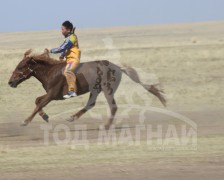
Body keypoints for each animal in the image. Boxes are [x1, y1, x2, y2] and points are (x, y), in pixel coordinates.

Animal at [8, 48, 166, 129]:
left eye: (20, 66)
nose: (10, 82)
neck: (50, 71)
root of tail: (117, 67)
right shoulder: (52, 94)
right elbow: (37, 101)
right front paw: (45, 116)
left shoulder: (53, 94)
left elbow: (38, 104)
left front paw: (25, 121)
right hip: (95, 90)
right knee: (91, 104)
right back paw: (72, 117)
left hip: (107, 89)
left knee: (113, 107)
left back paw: (106, 126)